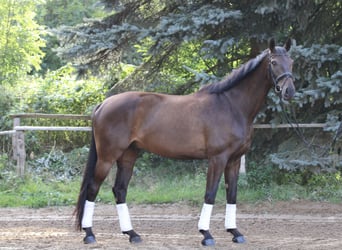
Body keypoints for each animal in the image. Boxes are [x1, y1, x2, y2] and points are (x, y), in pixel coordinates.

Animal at [76, 38, 296, 246]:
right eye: (274, 62)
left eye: (292, 62)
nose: (289, 91)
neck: (231, 105)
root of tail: (104, 104)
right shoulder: (217, 159)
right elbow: (210, 194)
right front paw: (206, 234)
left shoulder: (234, 161)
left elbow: (232, 195)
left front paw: (235, 233)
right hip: (107, 157)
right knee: (93, 188)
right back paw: (89, 234)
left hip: (128, 155)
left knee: (120, 190)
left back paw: (132, 234)